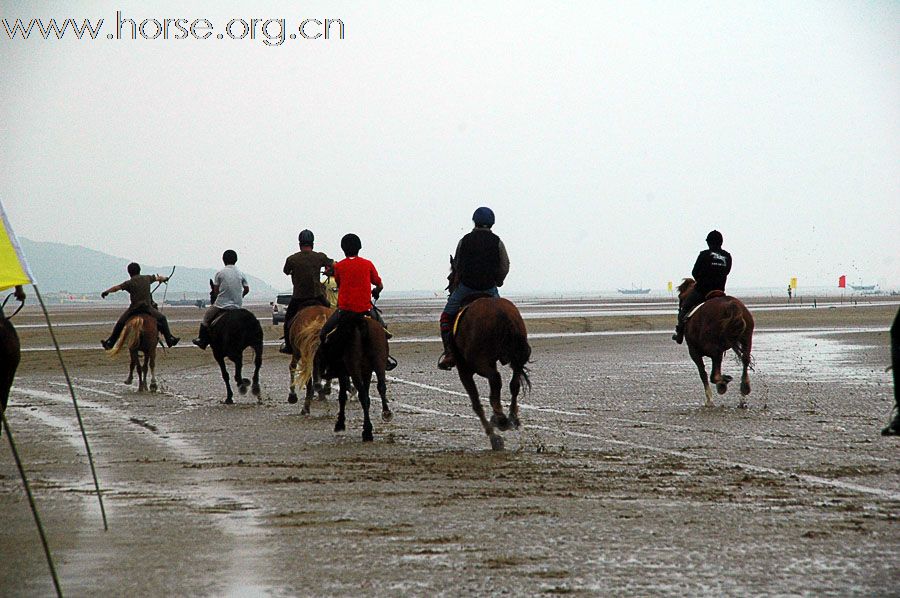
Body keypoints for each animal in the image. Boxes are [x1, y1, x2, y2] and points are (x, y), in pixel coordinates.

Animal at [318, 312, 392, 442]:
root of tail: (362, 323)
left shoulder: (343, 373)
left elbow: (342, 396)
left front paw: (340, 424)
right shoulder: (367, 372)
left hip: (354, 368)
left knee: (362, 394)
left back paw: (367, 431)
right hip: (379, 363)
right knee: (381, 386)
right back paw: (386, 412)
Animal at [446, 262, 532, 450]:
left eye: (450, 277)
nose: (449, 290)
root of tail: (502, 313)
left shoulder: (464, 371)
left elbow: (476, 403)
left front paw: (494, 437)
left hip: (480, 363)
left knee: (496, 379)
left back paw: (500, 418)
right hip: (516, 360)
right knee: (514, 383)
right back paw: (512, 417)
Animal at [676, 280, 752, 408]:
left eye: (680, 297)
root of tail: (731, 305)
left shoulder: (694, 352)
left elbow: (703, 374)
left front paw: (710, 399)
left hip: (714, 349)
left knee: (714, 375)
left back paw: (724, 384)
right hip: (747, 339)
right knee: (745, 360)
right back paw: (743, 393)